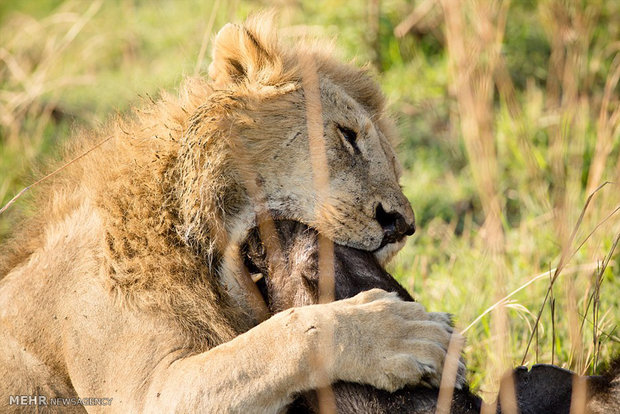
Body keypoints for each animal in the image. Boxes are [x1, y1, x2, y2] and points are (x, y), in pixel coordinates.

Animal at [0, 14, 458, 412]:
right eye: (347, 136)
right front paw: (401, 333)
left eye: (395, 166)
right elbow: (283, 335)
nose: (402, 226)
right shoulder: (146, 393)